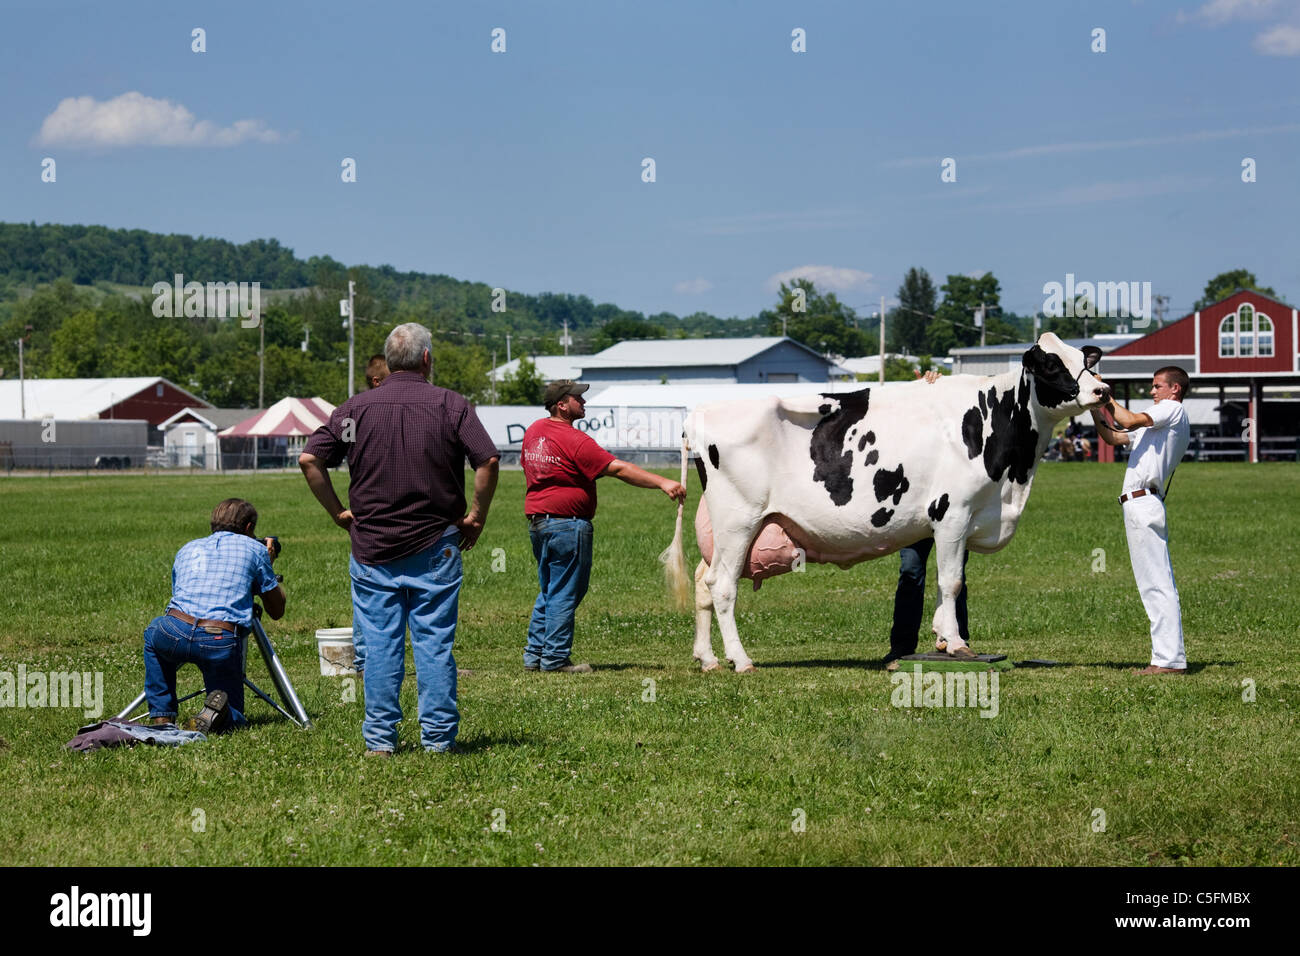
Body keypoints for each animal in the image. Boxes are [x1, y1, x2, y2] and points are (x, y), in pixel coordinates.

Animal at [665, 335, 1112, 671]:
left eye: (1084, 359)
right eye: (1052, 365)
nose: (1102, 390)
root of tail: (700, 413)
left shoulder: (960, 521)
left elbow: (944, 582)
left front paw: (943, 638)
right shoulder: (953, 513)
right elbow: (952, 581)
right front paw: (957, 643)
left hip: (726, 530)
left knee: (704, 583)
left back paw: (707, 659)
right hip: (738, 520)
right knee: (722, 586)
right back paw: (741, 660)